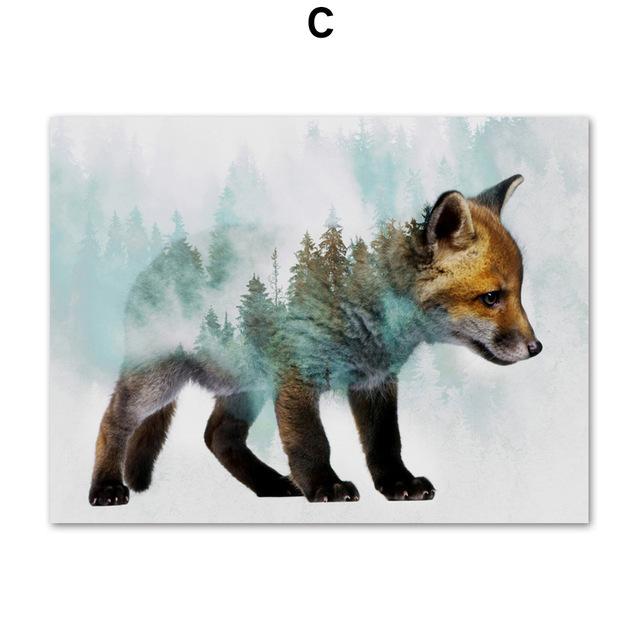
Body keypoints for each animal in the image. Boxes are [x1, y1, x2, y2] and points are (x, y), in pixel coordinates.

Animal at [89, 174, 542, 505]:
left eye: (518, 293)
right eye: (491, 297)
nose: (536, 348)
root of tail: (156, 262)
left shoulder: (375, 382)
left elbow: (386, 443)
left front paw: (398, 484)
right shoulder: (296, 377)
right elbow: (311, 443)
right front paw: (325, 486)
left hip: (248, 387)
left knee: (218, 436)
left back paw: (271, 484)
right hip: (158, 381)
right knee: (113, 420)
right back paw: (105, 487)